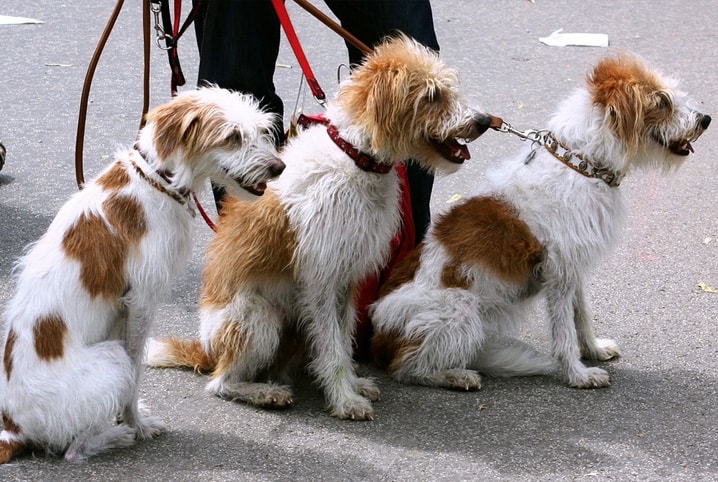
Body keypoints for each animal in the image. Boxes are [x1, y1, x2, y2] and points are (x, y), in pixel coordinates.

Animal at [146, 34, 496, 418]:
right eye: (432, 95)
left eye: (450, 87)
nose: (483, 121)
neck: (356, 158)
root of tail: (207, 348)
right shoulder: (322, 281)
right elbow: (332, 346)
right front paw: (345, 399)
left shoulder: (348, 278)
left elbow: (341, 339)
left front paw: (353, 385)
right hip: (259, 317)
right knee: (219, 383)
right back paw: (264, 392)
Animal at [374, 52, 712, 392]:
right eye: (662, 101)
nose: (705, 119)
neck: (581, 164)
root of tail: (377, 336)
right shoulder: (559, 274)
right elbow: (564, 332)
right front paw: (578, 374)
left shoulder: (574, 267)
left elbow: (581, 315)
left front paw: (593, 349)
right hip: (459, 307)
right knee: (405, 367)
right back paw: (454, 375)